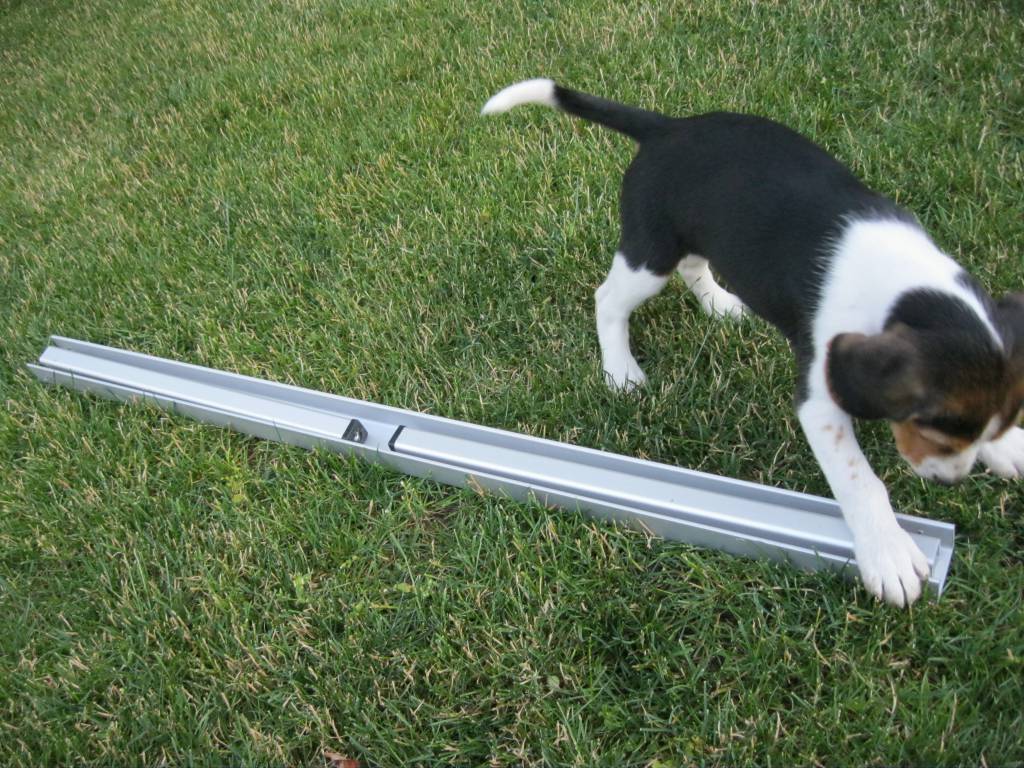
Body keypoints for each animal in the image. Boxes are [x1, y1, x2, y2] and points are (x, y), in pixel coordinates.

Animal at [481, 78, 1024, 607]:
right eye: (932, 429)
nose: (948, 480)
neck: (907, 284)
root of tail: (667, 127)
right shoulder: (820, 402)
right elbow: (860, 482)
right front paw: (887, 554)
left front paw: (1008, 448)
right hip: (650, 251)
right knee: (609, 299)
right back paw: (620, 370)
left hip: (697, 236)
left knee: (694, 267)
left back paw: (721, 305)